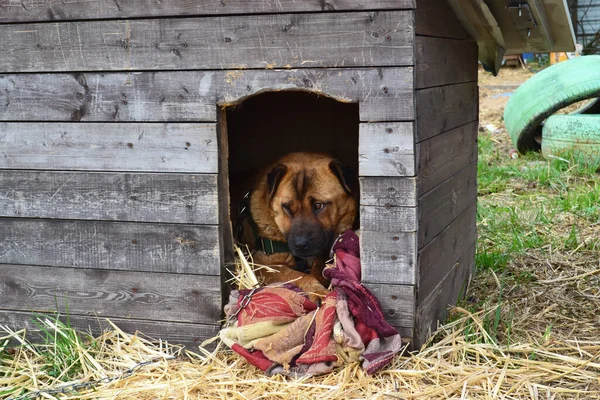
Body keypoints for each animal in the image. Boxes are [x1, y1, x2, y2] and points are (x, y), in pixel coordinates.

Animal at [238, 152, 356, 298]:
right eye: (286, 207)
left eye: (318, 205)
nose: (300, 245)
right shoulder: (267, 265)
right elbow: (301, 277)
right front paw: (317, 292)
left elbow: (319, 269)